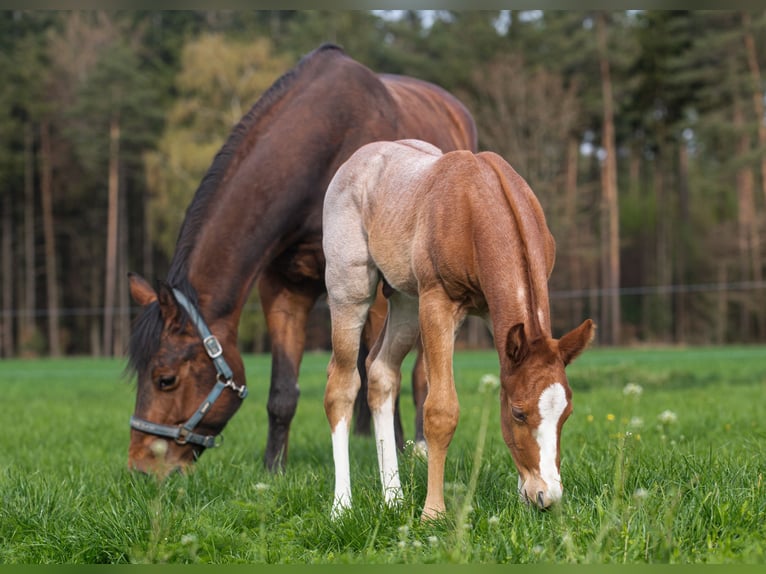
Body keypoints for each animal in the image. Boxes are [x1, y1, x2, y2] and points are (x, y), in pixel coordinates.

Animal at [126, 44, 477, 474]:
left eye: (165, 379)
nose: (141, 467)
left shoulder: (383, 294)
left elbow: (386, 374)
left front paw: (393, 456)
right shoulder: (283, 288)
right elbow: (283, 392)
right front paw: (273, 469)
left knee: (420, 372)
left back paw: (420, 445)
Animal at [323, 139, 595, 519]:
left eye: (566, 413)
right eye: (519, 412)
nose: (548, 497)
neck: (478, 206)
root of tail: (359, 158)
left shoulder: (491, 315)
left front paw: (522, 493)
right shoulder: (438, 302)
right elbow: (441, 411)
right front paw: (432, 513)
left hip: (406, 301)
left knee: (380, 373)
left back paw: (393, 498)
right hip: (351, 289)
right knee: (342, 385)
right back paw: (341, 507)